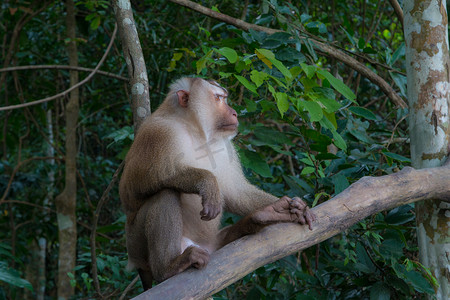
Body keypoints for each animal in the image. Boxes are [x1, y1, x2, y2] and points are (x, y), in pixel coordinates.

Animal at [119, 76, 316, 290]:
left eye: (224, 98)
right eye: (219, 98)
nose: (234, 112)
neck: (195, 130)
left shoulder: (226, 146)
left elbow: (236, 192)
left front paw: (291, 207)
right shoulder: (159, 134)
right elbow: (141, 182)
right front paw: (207, 182)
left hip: (213, 245)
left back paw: (262, 216)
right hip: (136, 245)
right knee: (165, 194)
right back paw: (168, 268)